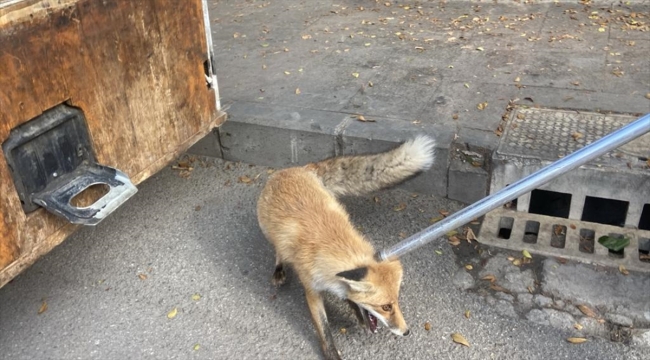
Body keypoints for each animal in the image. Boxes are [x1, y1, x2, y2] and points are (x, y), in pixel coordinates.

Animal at [256, 136, 432, 360]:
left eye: (396, 302)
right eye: (385, 306)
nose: (407, 332)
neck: (331, 244)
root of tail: (299, 168)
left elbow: (349, 295)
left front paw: (355, 308)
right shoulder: (312, 290)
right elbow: (324, 331)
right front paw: (332, 353)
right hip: (267, 229)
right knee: (278, 249)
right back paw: (279, 269)